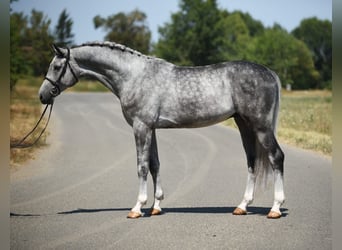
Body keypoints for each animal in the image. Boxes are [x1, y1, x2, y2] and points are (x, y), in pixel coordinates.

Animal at [39, 42, 286, 219]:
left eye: (57, 67)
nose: (42, 95)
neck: (134, 75)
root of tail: (269, 72)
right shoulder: (151, 128)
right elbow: (155, 164)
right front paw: (156, 206)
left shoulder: (141, 127)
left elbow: (141, 166)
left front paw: (137, 208)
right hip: (244, 124)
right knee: (252, 160)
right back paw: (242, 206)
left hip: (260, 126)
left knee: (276, 157)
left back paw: (275, 208)